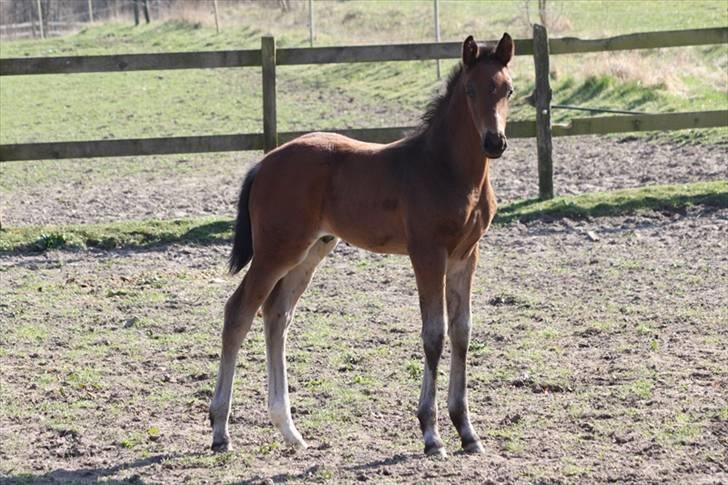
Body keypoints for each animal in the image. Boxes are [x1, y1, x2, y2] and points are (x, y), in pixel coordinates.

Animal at [209, 32, 516, 456]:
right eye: (470, 90)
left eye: (508, 89)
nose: (494, 142)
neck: (446, 168)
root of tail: (265, 162)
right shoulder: (427, 254)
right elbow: (434, 334)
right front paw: (431, 434)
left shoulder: (466, 256)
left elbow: (462, 332)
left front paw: (468, 432)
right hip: (276, 250)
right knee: (239, 312)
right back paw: (220, 430)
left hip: (311, 250)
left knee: (276, 314)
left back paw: (289, 430)